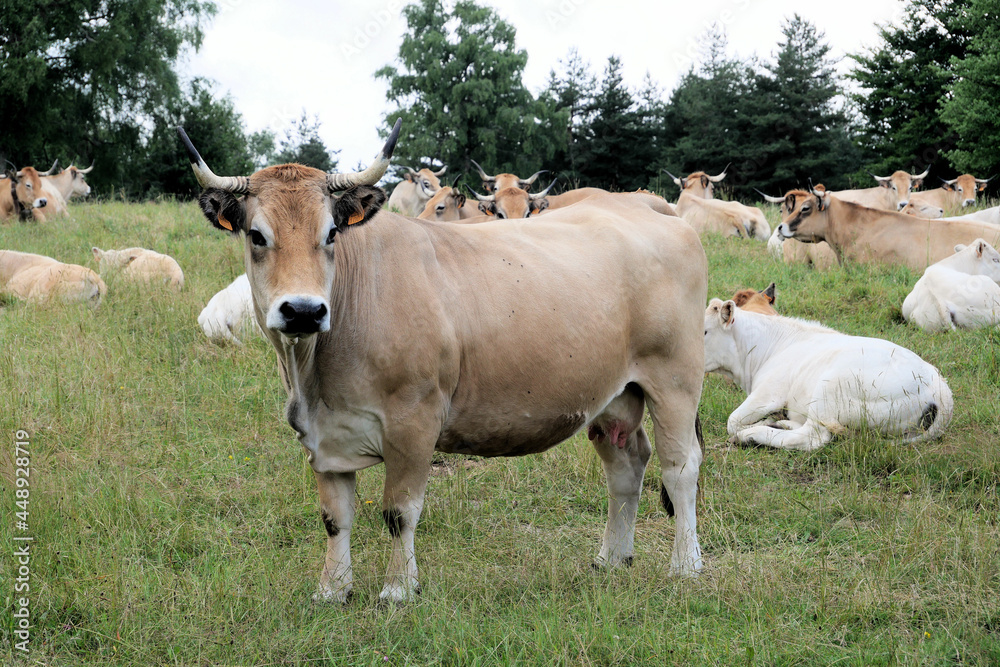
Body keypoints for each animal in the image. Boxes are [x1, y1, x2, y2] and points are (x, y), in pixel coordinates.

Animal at [180, 120, 712, 604]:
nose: (304, 310)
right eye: (256, 235)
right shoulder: (321, 436)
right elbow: (335, 518)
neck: (315, 377)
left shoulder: (414, 423)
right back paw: (612, 558)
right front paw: (332, 590)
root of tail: (641, 204)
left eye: (331, 233)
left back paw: (685, 565)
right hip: (614, 394)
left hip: (675, 378)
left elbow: (399, 512)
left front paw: (398, 590)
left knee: (680, 468)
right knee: (625, 464)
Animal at [704, 300, 952, 452]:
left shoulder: (767, 392)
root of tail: (938, 385)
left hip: (830, 387)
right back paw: (780, 423)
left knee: (812, 437)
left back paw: (753, 434)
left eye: (705, 331)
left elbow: (732, 421)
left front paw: (754, 426)